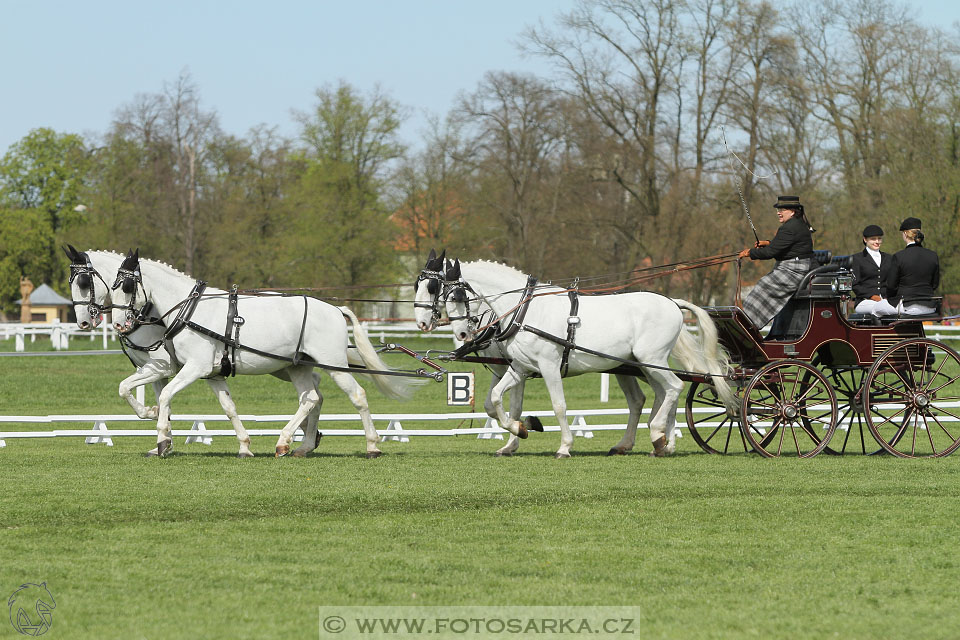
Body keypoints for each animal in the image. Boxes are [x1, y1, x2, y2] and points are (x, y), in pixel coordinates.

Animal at [65, 248, 324, 458]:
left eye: (84, 282)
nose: (84, 322)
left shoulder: (164, 366)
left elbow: (130, 389)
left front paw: (154, 420)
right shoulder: (160, 370)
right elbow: (159, 399)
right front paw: (161, 434)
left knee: (313, 393)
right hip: (282, 366)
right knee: (316, 389)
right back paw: (309, 438)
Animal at [109, 250, 420, 456]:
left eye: (127, 285)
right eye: (111, 286)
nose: (120, 324)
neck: (190, 310)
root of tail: (334, 308)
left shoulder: (195, 367)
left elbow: (166, 394)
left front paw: (162, 440)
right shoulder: (211, 372)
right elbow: (227, 407)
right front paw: (244, 446)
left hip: (333, 364)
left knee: (356, 395)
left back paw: (372, 445)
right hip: (297, 366)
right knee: (311, 398)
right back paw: (294, 444)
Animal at [412, 252, 736, 458]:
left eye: (449, 293)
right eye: (420, 286)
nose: (462, 335)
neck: (524, 310)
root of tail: (671, 302)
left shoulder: (548, 366)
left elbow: (558, 406)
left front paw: (564, 446)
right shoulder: (519, 367)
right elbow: (497, 402)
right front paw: (519, 431)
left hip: (652, 361)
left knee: (675, 388)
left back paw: (658, 434)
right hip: (639, 365)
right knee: (654, 396)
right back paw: (658, 443)